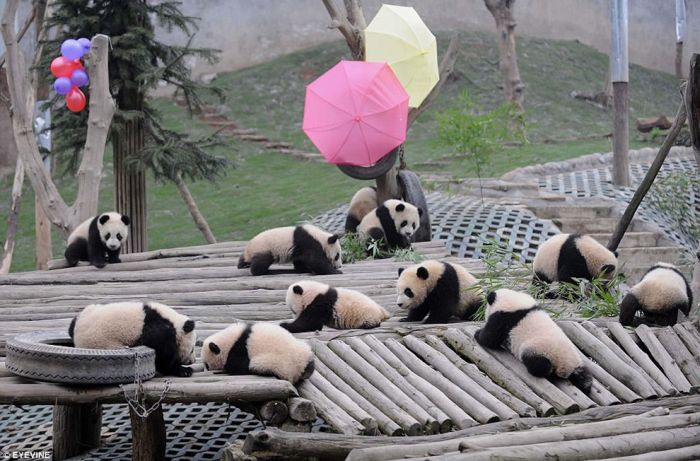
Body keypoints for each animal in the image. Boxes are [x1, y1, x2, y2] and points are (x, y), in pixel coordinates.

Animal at [69, 300, 197, 376]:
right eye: (192, 349)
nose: (193, 361)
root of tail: (78, 340)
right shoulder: (158, 330)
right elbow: (162, 355)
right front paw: (183, 370)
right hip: (106, 343)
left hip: (87, 312)